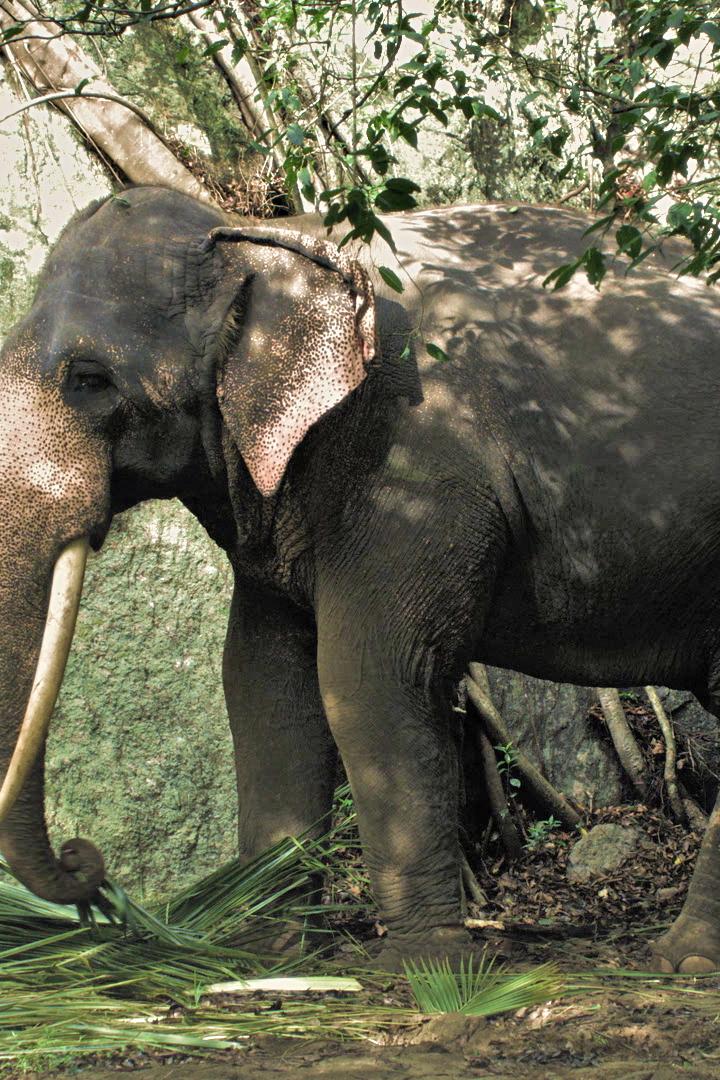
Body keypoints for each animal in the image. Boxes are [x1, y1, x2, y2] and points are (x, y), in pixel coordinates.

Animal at [1, 184, 720, 972]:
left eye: (89, 381)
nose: (87, 869)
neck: (266, 234)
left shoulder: (414, 461)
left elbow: (369, 675)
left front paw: (431, 970)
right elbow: (260, 679)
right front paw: (265, 956)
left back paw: (680, 962)